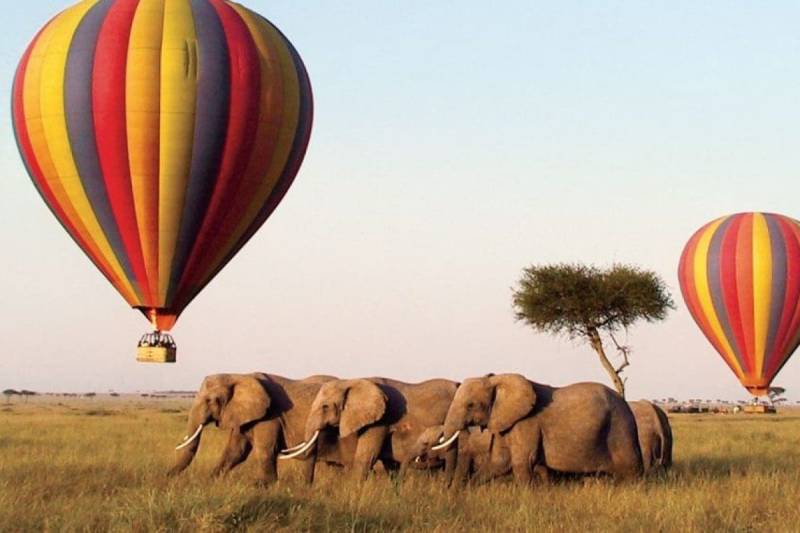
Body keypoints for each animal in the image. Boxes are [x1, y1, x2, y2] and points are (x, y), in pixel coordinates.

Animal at [167, 372, 332, 484]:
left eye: (210, 400)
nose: (166, 477)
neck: (238, 376)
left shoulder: (270, 416)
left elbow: (266, 451)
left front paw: (267, 487)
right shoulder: (243, 416)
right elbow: (235, 452)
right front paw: (210, 482)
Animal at [290, 376, 460, 480]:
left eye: (325, 407)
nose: (309, 487)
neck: (352, 382)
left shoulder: (381, 419)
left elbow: (366, 456)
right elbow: (388, 463)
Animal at [432, 372, 644, 484]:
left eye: (470, 405)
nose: (446, 488)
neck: (498, 380)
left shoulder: (527, 423)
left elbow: (522, 462)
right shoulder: (504, 421)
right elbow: (499, 461)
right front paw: (469, 488)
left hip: (620, 428)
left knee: (631, 472)